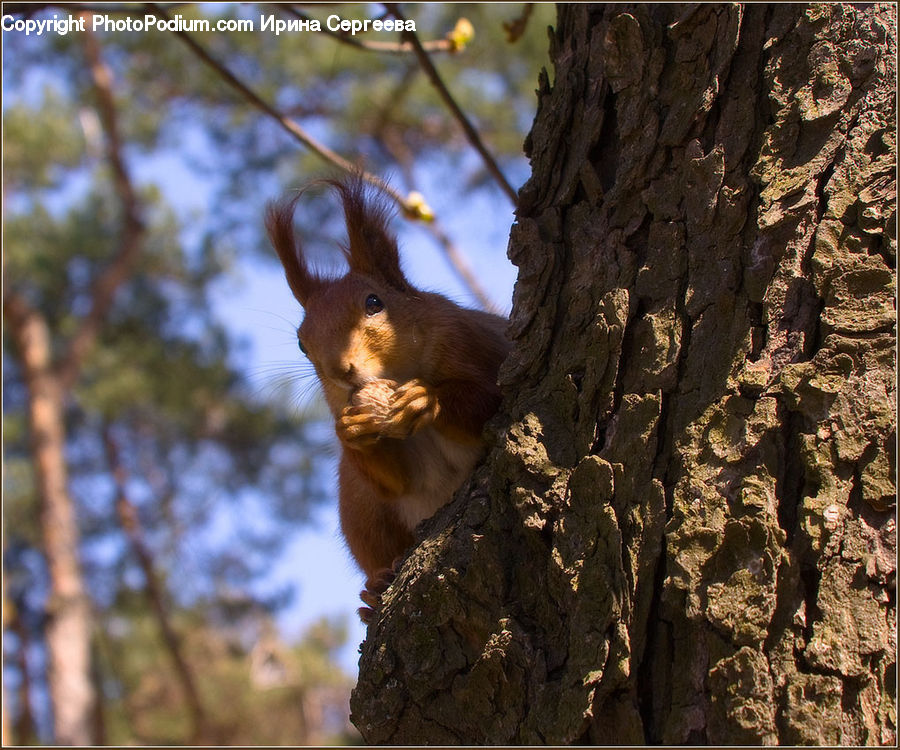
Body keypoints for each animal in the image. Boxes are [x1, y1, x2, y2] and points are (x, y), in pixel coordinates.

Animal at [266, 178, 510, 622]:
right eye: (302, 343)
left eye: (374, 303)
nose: (341, 370)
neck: (396, 372)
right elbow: (400, 480)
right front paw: (351, 430)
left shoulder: (478, 348)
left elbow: (486, 403)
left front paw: (425, 400)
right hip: (360, 506)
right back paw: (376, 589)